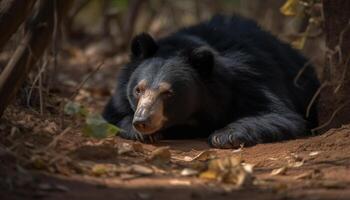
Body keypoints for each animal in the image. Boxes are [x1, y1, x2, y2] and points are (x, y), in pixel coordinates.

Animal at [102, 14, 320, 148]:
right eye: (138, 90)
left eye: (168, 93)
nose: (142, 121)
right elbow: (112, 114)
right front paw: (140, 132)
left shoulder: (250, 77)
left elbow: (279, 114)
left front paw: (225, 136)